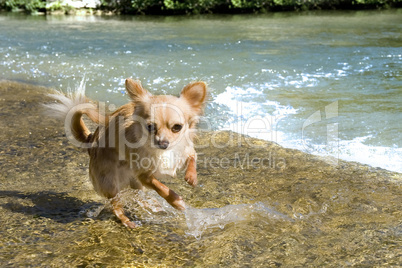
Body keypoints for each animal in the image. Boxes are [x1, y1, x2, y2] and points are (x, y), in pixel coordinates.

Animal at [46, 78, 207, 227]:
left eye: (177, 127)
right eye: (150, 127)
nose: (163, 143)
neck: (161, 152)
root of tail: (91, 140)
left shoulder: (185, 151)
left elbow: (192, 159)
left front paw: (191, 178)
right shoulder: (144, 176)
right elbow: (161, 187)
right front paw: (176, 202)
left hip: (133, 182)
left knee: (138, 196)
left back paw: (150, 205)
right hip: (110, 183)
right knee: (115, 206)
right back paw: (126, 220)